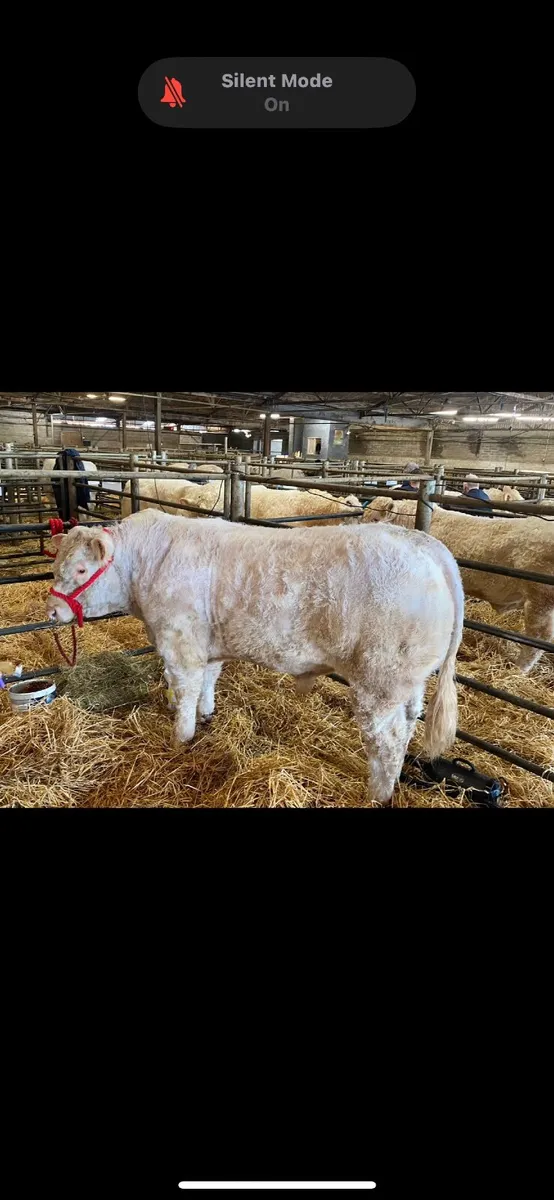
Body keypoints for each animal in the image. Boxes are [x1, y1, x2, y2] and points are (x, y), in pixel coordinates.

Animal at [45, 510, 464, 806]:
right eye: (56, 567)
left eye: (80, 569)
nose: (52, 611)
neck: (146, 566)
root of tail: (423, 543)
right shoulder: (208, 643)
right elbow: (207, 682)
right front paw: (206, 715)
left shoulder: (180, 642)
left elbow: (184, 690)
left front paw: (180, 738)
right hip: (407, 682)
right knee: (407, 726)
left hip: (380, 679)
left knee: (386, 739)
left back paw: (377, 794)